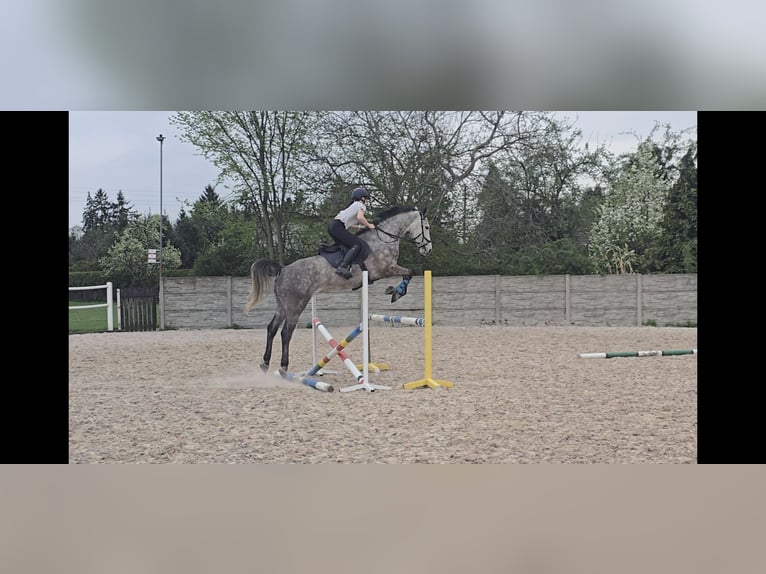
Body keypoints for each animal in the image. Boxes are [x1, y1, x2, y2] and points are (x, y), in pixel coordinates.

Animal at [244, 206, 432, 374]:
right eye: (427, 227)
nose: (428, 249)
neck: (382, 238)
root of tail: (283, 269)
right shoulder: (386, 269)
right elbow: (409, 272)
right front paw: (396, 292)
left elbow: (408, 273)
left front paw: (393, 291)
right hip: (296, 304)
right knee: (285, 332)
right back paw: (283, 367)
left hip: (282, 305)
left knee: (272, 328)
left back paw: (265, 363)